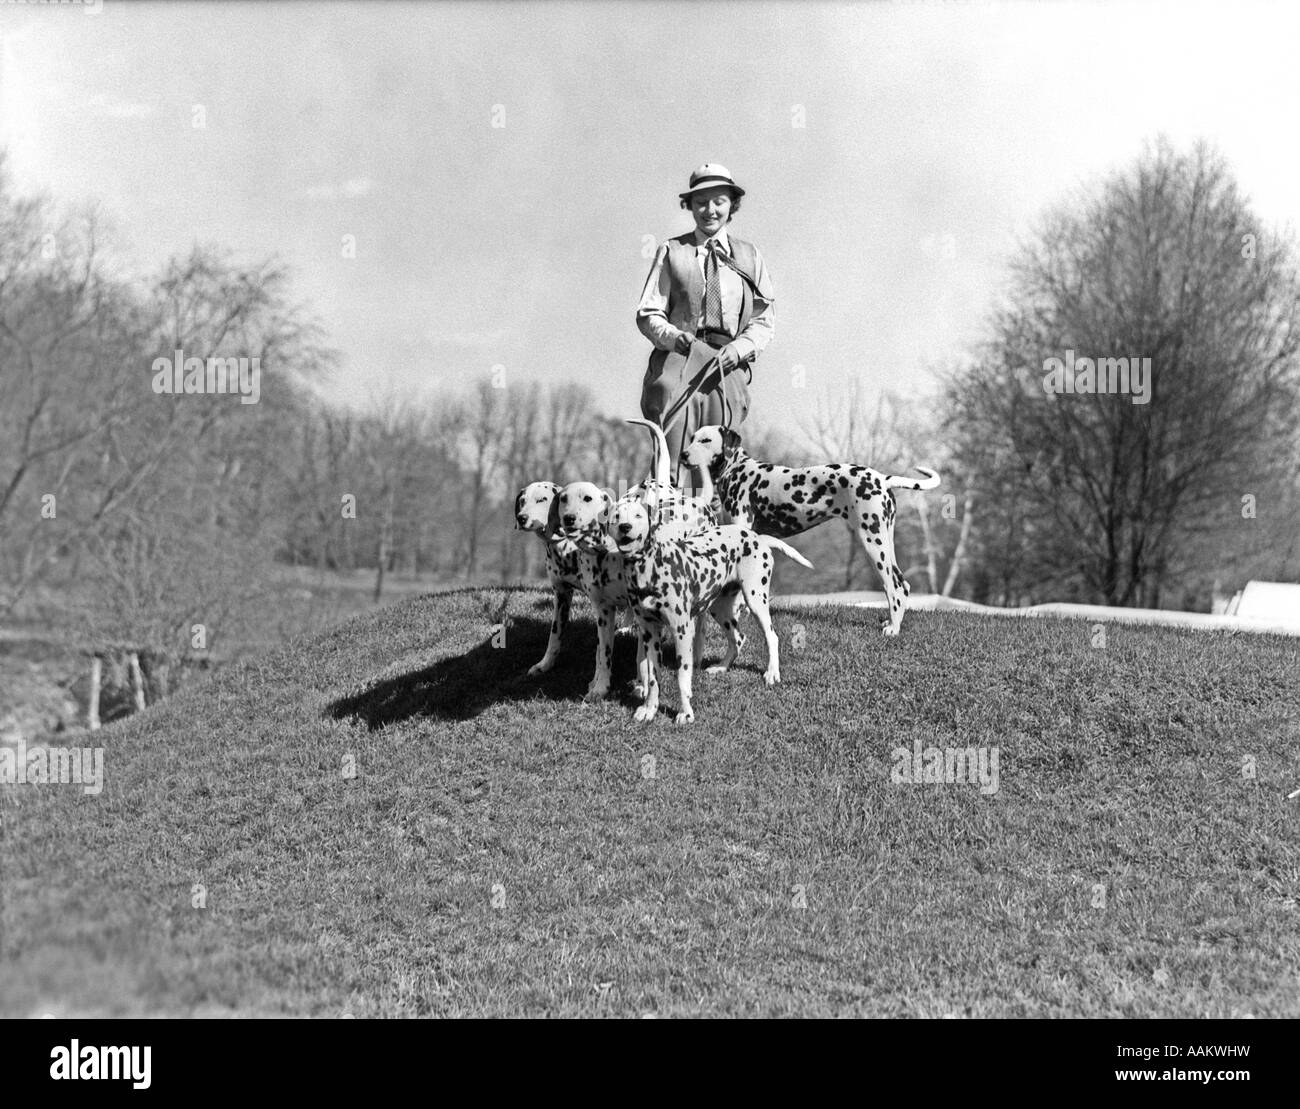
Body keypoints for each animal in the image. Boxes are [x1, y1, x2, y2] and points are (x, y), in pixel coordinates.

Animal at [608, 496, 811, 728]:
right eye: (616, 516)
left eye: (638, 515)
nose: (625, 527)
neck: (648, 569)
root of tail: (756, 537)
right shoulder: (650, 634)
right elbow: (652, 679)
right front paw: (649, 709)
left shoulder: (682, 633)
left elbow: (682, 678)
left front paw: (685, 713)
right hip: (719, 609)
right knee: (738, 638)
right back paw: (721, 667)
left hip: (755, 601)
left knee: (772, 637)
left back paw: (772, 673)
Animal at [681, 421, 946, 631]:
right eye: (692, 437)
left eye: (706, 440)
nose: (683, 454)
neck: (736, 469)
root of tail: (881, 478)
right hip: (884, 542)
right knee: (903, 584)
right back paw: (892, 622)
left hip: (873, 544)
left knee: (893, 587)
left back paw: (893, 629)